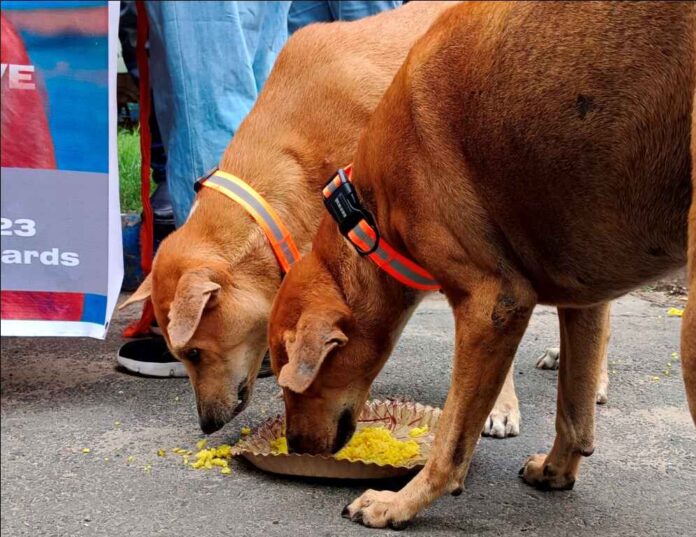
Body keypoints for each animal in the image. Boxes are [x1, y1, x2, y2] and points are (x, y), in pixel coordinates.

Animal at [268, 1, 696, 528]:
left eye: (292, 383)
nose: (295, 446)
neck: (368, 215)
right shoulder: (585, 303)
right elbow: (574, 415)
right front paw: (556, 469)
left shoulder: (492, 304)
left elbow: (452, 441)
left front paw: (399, 503)